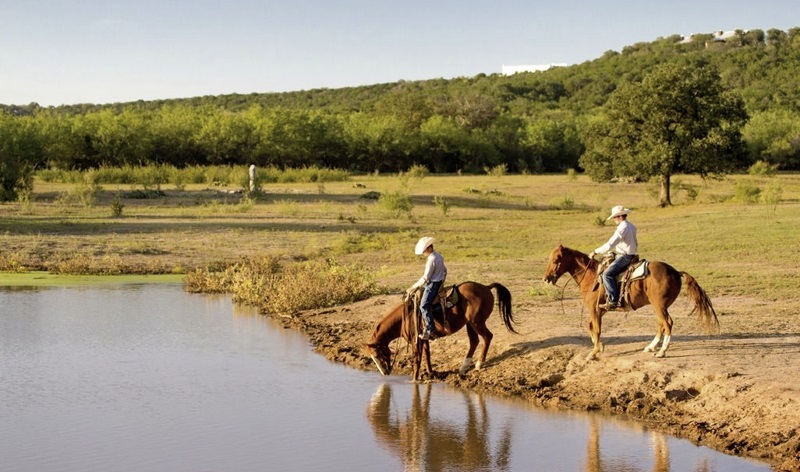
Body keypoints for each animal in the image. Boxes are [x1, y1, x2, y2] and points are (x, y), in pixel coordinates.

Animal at [366, 280, 516, 380]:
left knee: (487, 337)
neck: (405, 317)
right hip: (470, 324)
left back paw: (479, 364)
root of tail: (486, 287)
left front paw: (414, 379)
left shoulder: (415, 341)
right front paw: (431, 374)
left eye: (377, 355)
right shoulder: (423, 338)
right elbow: (427, 356)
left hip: (476, 322)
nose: (385, 372)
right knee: (474, 341)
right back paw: (463, 368)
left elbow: (417, 359)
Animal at [544, 245, 720, 360]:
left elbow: (597, 329)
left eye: (556, 260)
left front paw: (593, 353)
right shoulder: (598, 310)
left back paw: (661, 351)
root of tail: (675, 272)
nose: (546, 278)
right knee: (661, 324)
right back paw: (651, 347)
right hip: (659, 306)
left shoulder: (594, 310)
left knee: (667, 323)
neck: (592, 276)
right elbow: (590, 327)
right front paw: (599, 346)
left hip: (659, 305)